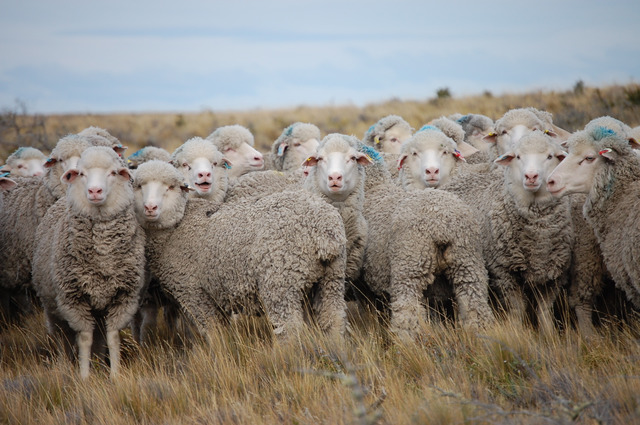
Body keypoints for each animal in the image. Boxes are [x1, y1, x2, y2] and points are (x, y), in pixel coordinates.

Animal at [31, 147, 145, 378]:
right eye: (82, 173)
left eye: (112, 172)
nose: (94, 191)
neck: (103, 254)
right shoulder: (74, 300)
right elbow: (84, 338)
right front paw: (84, 376)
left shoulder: (122, 298)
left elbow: (113, 337)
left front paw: (114, 375)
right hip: (53, 307)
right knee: (62, 337)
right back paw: (65, 365)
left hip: (98, 310)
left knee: (99, 336)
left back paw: (99, 363)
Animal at [132, 159, 348, 338]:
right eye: (138, 186)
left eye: (170, 187)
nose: (150, 208)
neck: (174, 229)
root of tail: (323, 226)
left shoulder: (192, 292)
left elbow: (213, 332)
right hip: (332, 278)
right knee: (334, 319)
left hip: (280, 280)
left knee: (290, 329)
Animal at [356, 144, 490, 340]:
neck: (373, 188)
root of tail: (442, 226)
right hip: (467, 261)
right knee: (474, 303)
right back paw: (480, 334)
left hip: (410, 265)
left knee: (407, 310)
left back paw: (405, 342)